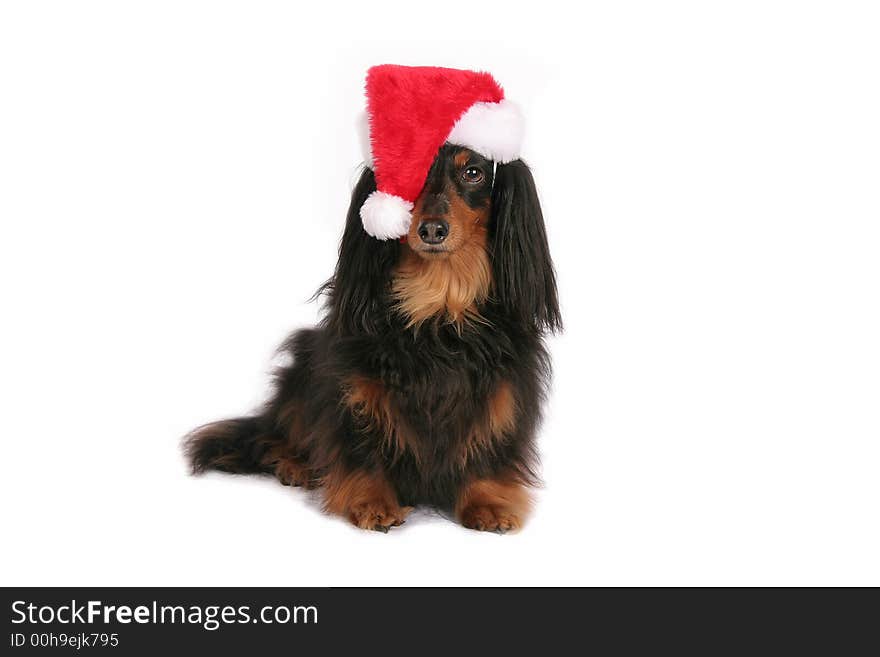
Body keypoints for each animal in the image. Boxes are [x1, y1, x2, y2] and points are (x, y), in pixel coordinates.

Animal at [183, 142, 560, 528]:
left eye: (474, 173)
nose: (432, 230)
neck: (437, 302)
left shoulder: (503, 385)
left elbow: (491, 441)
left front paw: (487, 501)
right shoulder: (356, 384)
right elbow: (363, 442)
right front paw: (372, 500)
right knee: (280, 434)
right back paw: (295, 465)